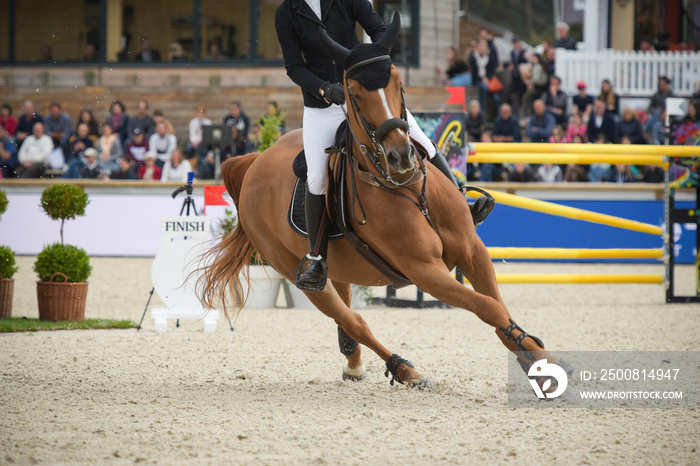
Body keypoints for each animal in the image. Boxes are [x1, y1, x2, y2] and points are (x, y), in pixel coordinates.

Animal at [197, 14, 568, 388]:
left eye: (398, 82)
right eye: (354, 93)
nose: (401, 156)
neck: (408, 188)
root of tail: (255, 162)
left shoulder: (471, 250)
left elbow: (496, 305)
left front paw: (532, 353)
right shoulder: (425, 271)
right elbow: (486, 306)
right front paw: (544, 358)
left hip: (339, 266)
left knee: (347, 315)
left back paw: (354, 363)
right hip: (296, 271)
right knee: (352, 318)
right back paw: (405, 369)